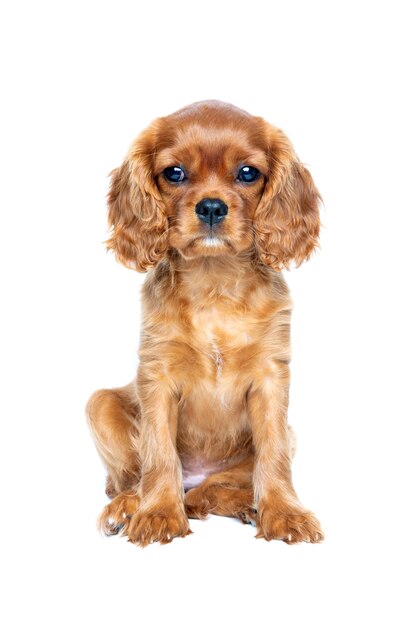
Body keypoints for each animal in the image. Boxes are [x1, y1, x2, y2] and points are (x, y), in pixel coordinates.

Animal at [86, 100, 324, 544]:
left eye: (247, 172)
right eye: (174, 173)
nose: (211, 206)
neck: (214, 283)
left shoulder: (271, 379)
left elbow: (273, 457)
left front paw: (284, 513)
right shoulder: (157, 376)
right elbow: (159, 454)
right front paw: (158, 513)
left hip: (284, 437)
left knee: (212, 490)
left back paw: (246, 504)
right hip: (100, 403)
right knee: (133, 478)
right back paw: (127, 506)